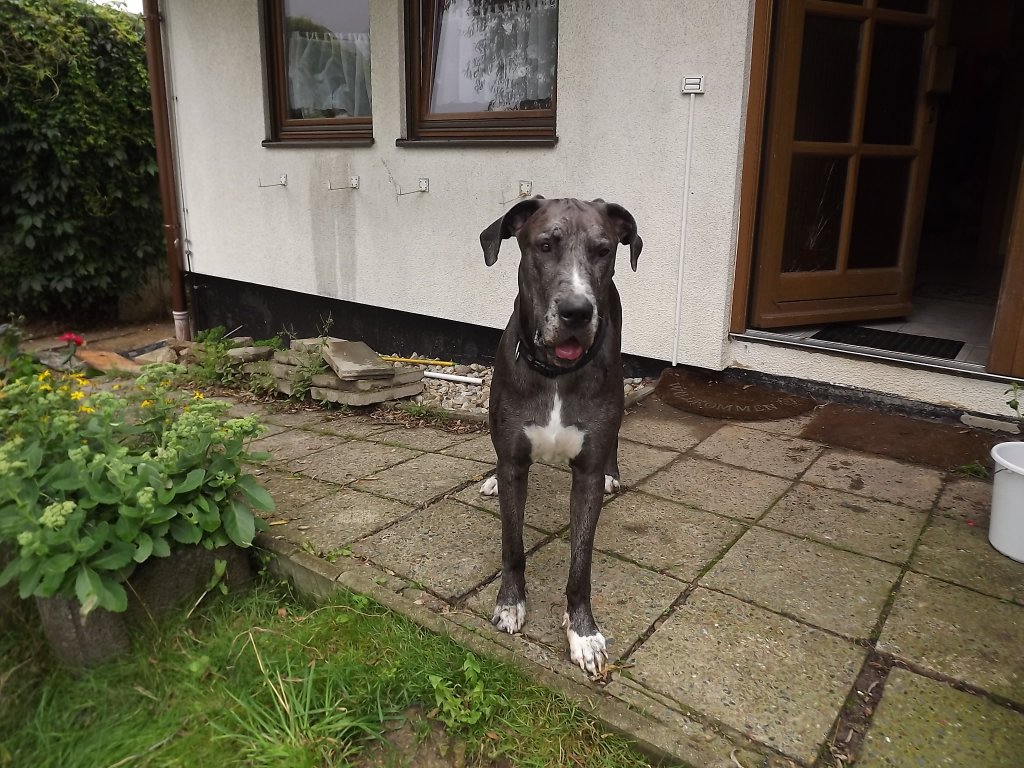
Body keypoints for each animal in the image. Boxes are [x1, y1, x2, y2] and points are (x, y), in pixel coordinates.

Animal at [477, 195, 638, 675]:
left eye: (604, 250)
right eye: (545, 245)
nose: (577, 311)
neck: (556, 372)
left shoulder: (585, 476)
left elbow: (581, 563)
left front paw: (582, 632)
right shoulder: (514, 461)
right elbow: (512, 544)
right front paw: (510, 605)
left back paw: (614, 473)